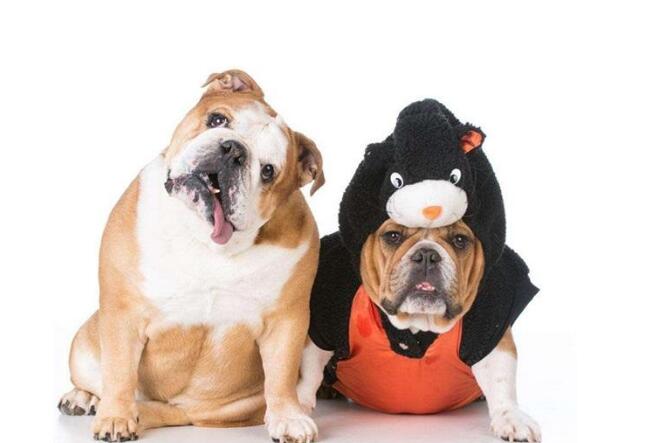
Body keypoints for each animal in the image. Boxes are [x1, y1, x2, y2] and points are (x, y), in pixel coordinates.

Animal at [58, 69, 324, 443]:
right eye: (217, 120)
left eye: (269, 171)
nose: (232, 150)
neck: (207, 238)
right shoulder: (123, 312)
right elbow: (120, 372)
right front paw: (115, 416)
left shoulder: (288, 320)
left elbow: (282, 376)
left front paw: (289, 417)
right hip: (84, 344)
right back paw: (85, 399)